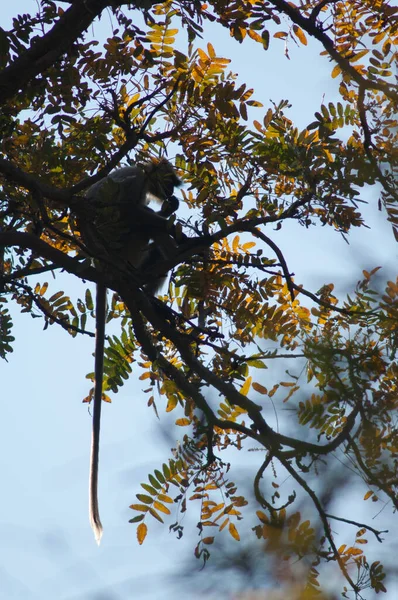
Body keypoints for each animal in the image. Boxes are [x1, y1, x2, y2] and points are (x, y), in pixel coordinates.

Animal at [84, 159, 183, 544]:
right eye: (169, 181)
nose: (171, 192)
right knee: (137, 220)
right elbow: (121, 206)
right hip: (118, 240)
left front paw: (172, 213)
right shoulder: (132, 179)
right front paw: (170, 219)